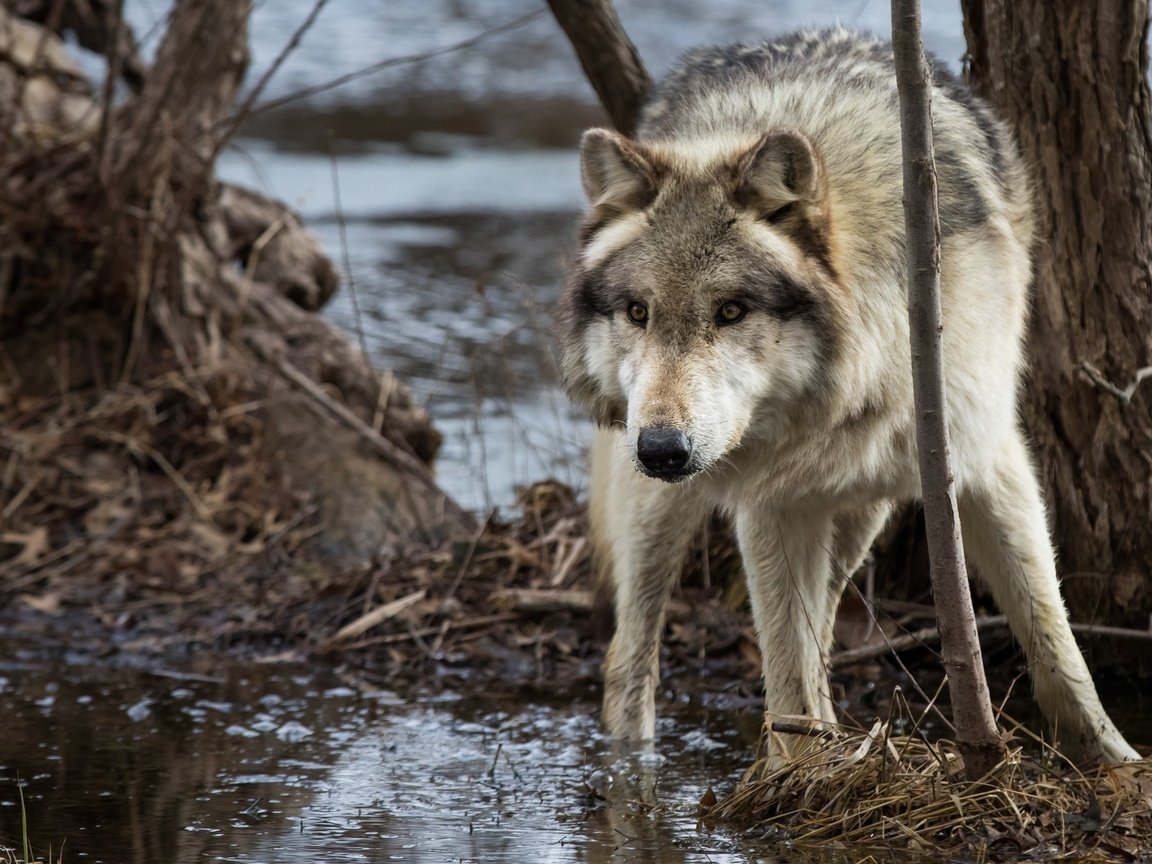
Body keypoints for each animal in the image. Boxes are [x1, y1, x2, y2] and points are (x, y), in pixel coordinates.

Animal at [555, 25, 1133, 764]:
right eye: (637, 312)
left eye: (732, 311)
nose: (661, 449)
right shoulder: (769, 500)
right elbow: (786, 671)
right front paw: (799, 779)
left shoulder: (987, 459)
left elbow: (1054, 640)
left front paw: (1114, 762)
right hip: (661, 507)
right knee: (629, 658)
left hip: (862, 511)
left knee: (826, 615)